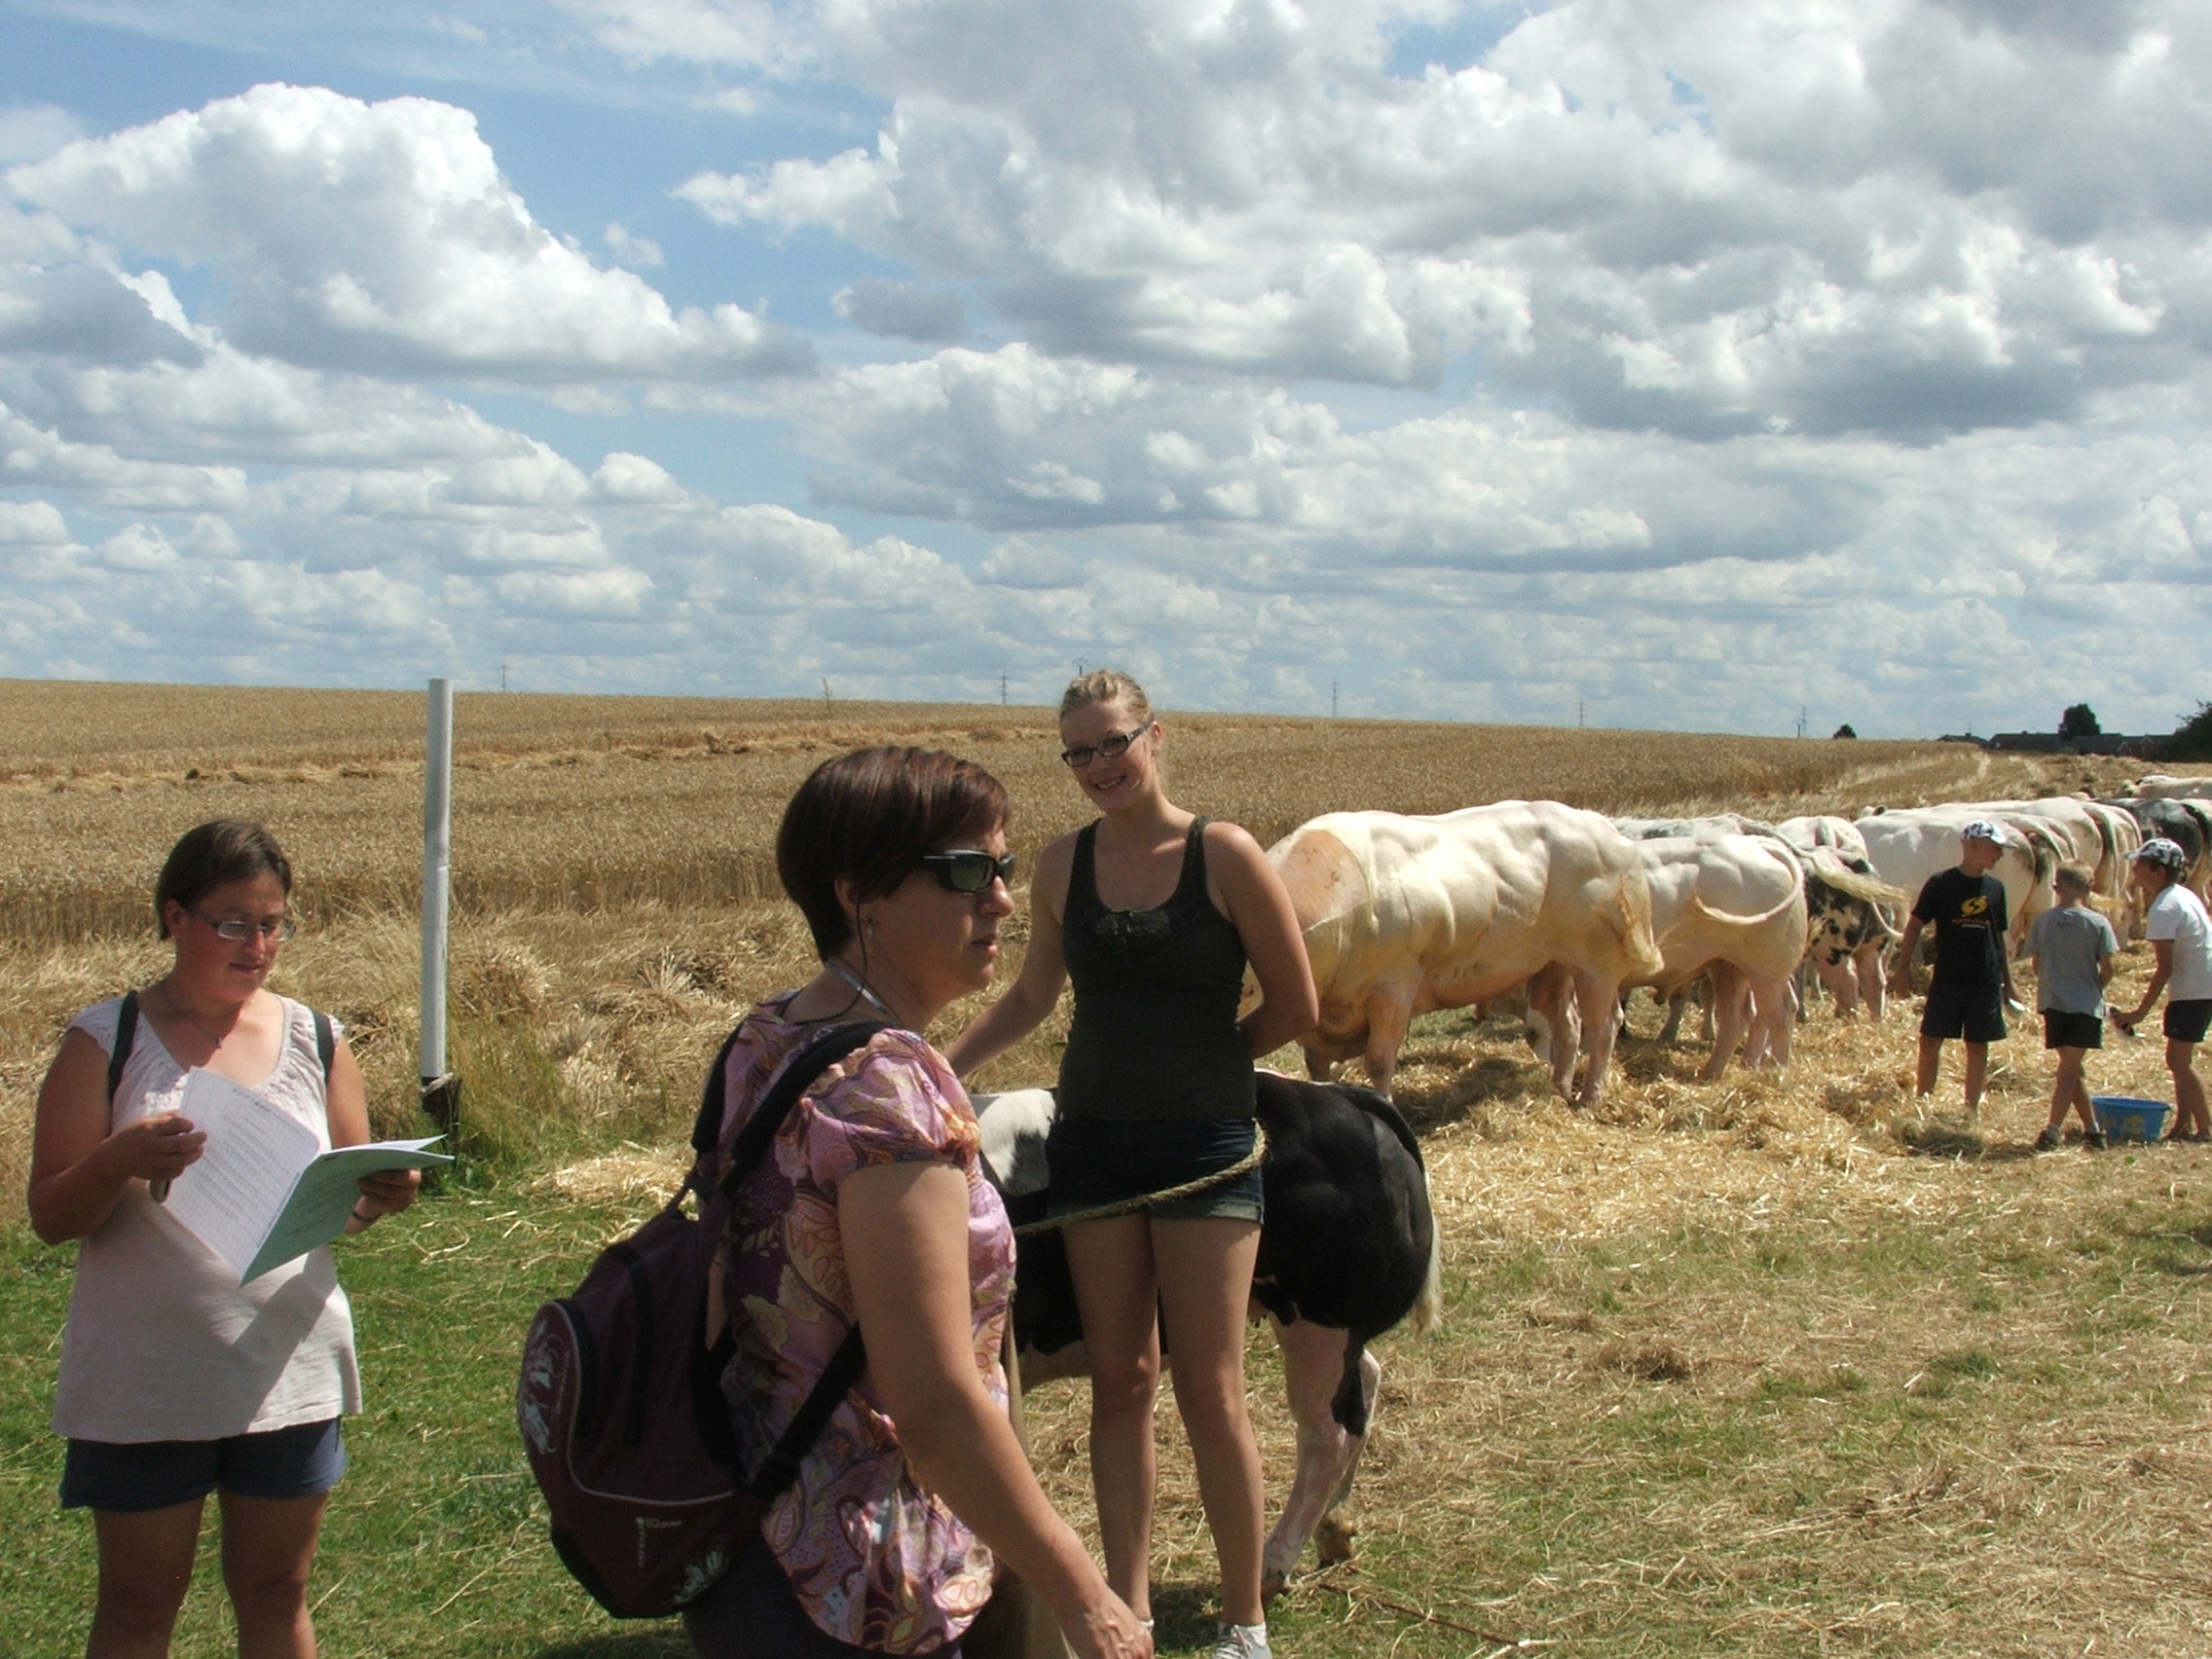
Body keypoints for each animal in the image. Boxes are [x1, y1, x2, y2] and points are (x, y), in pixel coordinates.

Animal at [975, 1073, 1441, 1600]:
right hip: (1327, 1327)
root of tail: (1340, 1096)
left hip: (1318, 1318)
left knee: (1330, 1431)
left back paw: (1272, 1564)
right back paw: (1335, 1528)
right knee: (1365, 1384)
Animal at [1266, 802, 1663, 1108]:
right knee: (1569, 1025)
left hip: (1598, 962)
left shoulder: (1394, 989)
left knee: (1604, 1025)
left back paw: (1589, 1098)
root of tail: (1602, 826)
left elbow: (1378, 1061)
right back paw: (1559, 1090)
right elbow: (1316, 1068)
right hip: (1556, 965)